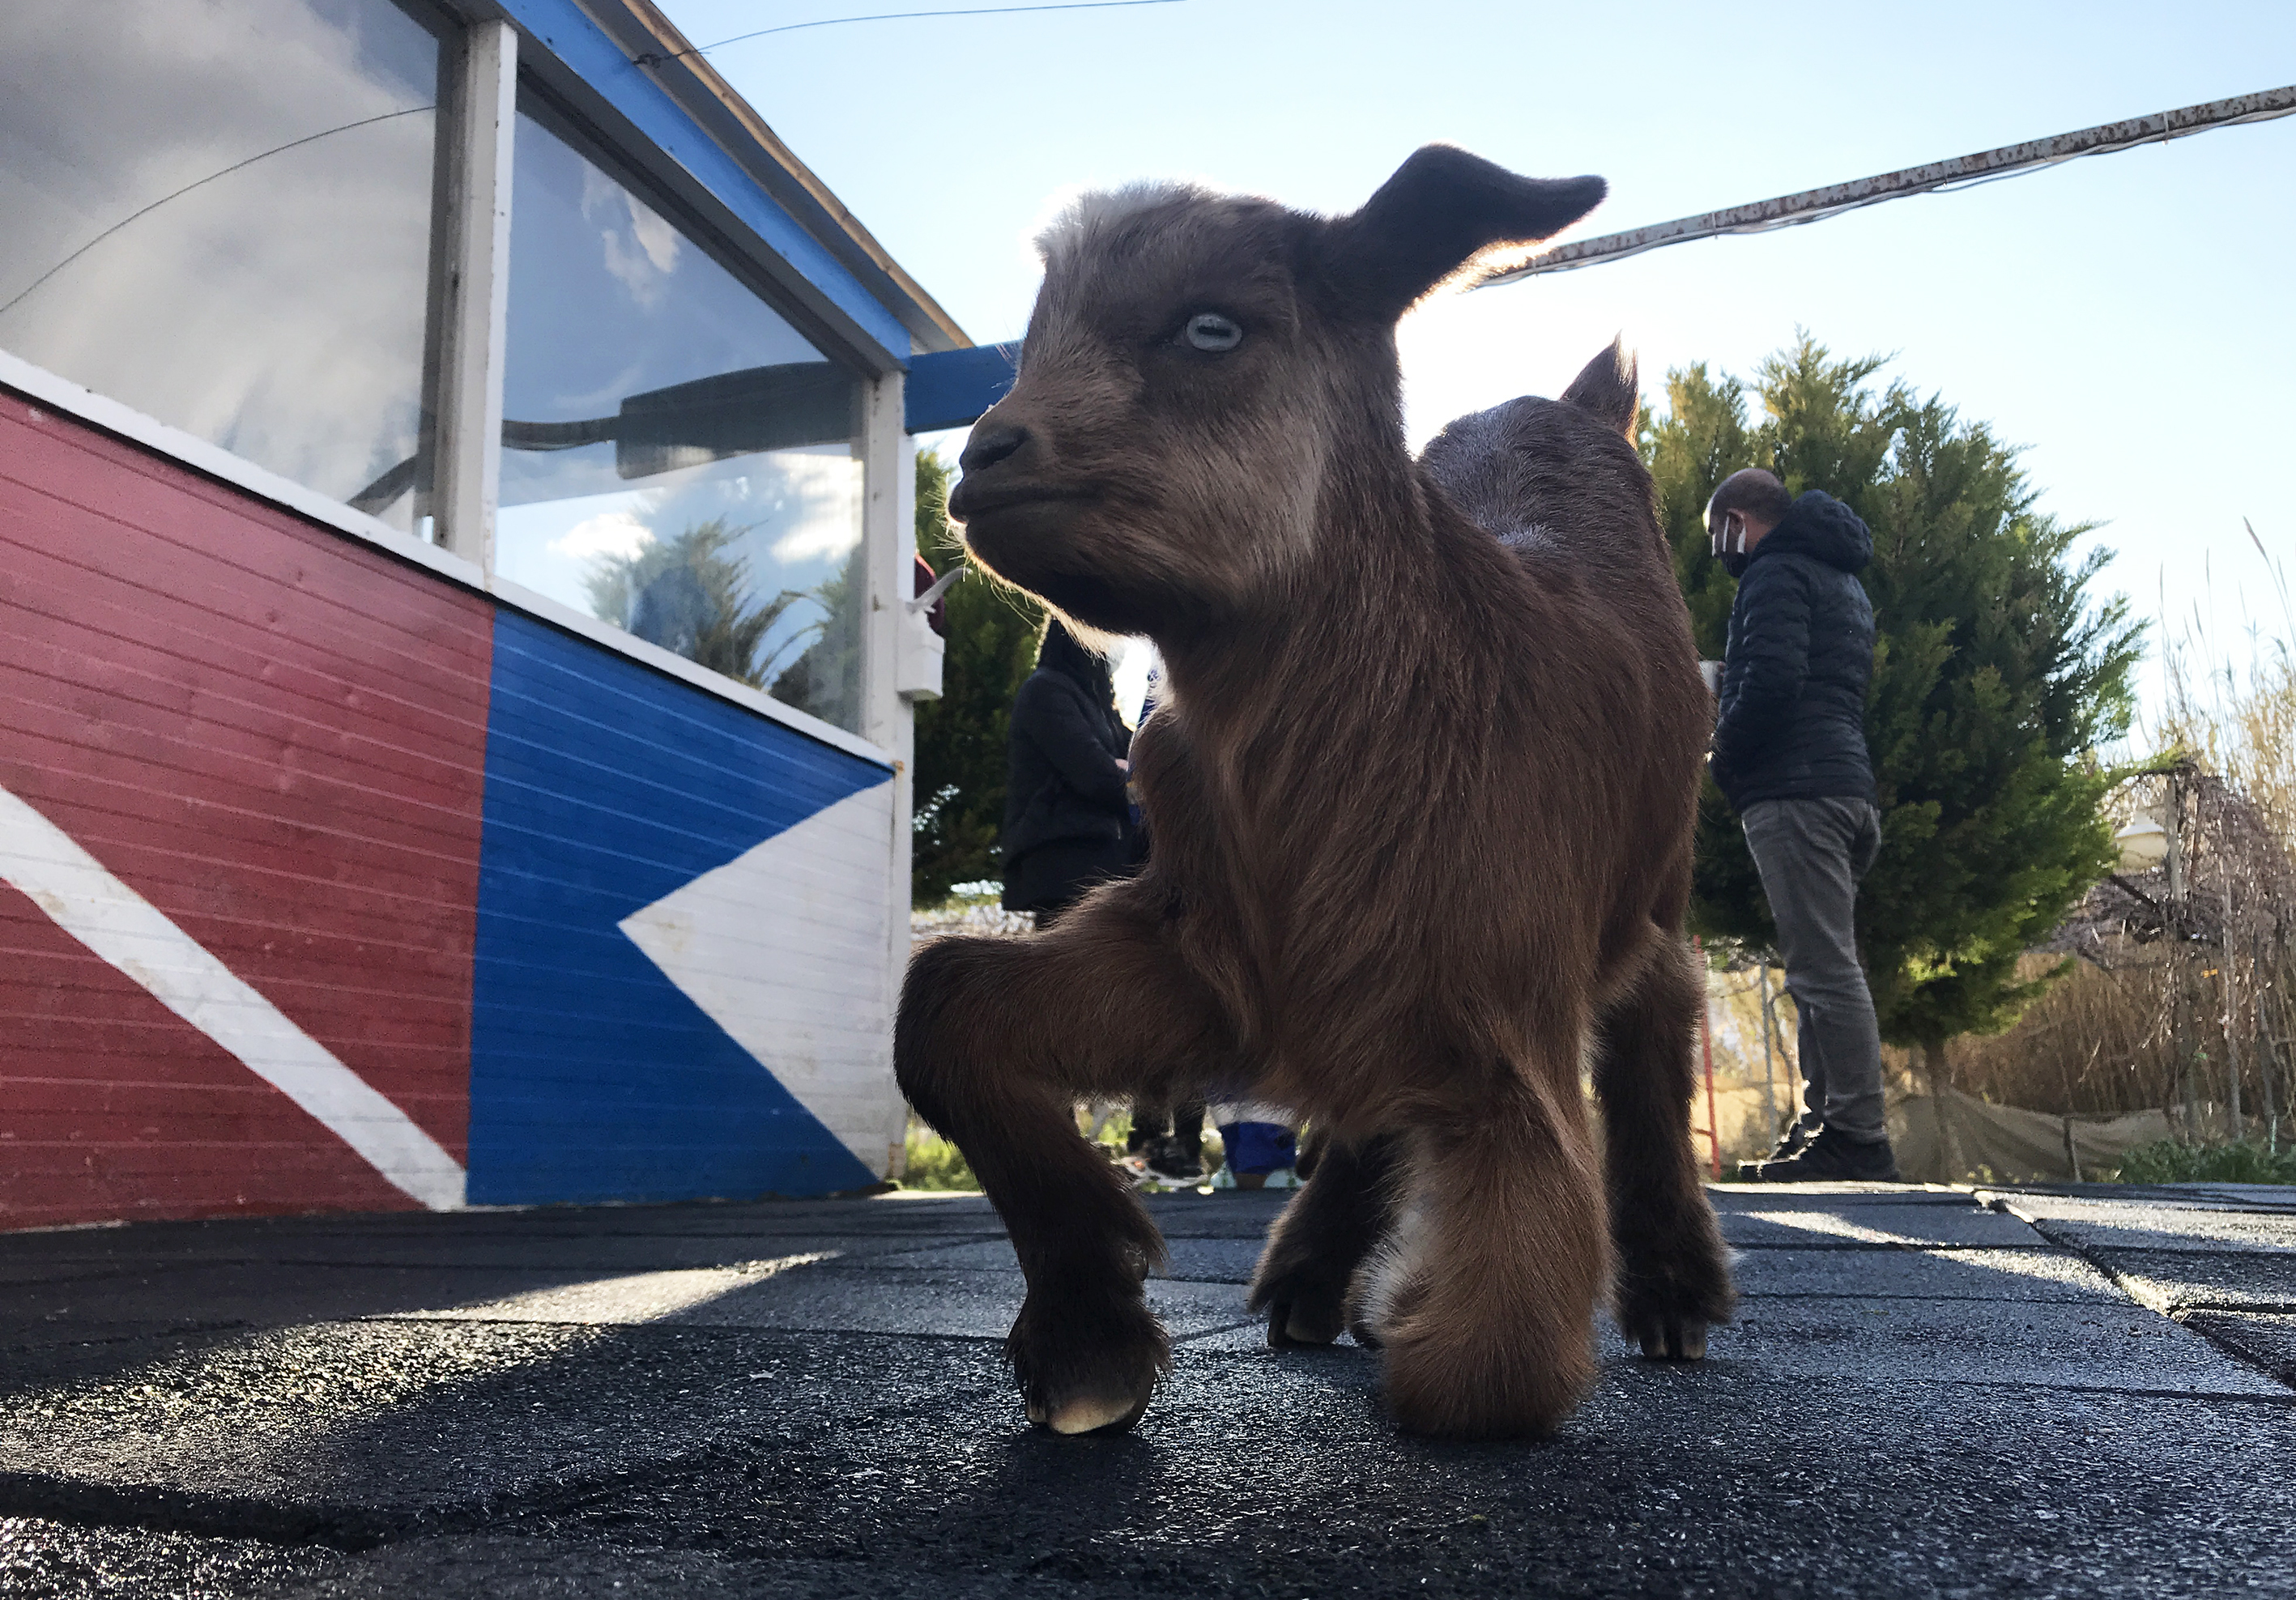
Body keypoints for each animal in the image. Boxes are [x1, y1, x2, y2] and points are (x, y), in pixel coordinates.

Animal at [897, 146, 1733, 1440]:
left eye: (1210, 326)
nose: (984, 459)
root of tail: (1573, 407)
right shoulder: (1211, 950)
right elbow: (943, 1006)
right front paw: (1088, 1337)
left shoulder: (1504, 989)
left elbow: (1489, 1359)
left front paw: (1411, 1311)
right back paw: (1303, 1276)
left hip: (1654, 881)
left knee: (1655, 1016)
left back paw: (1674, 1292)